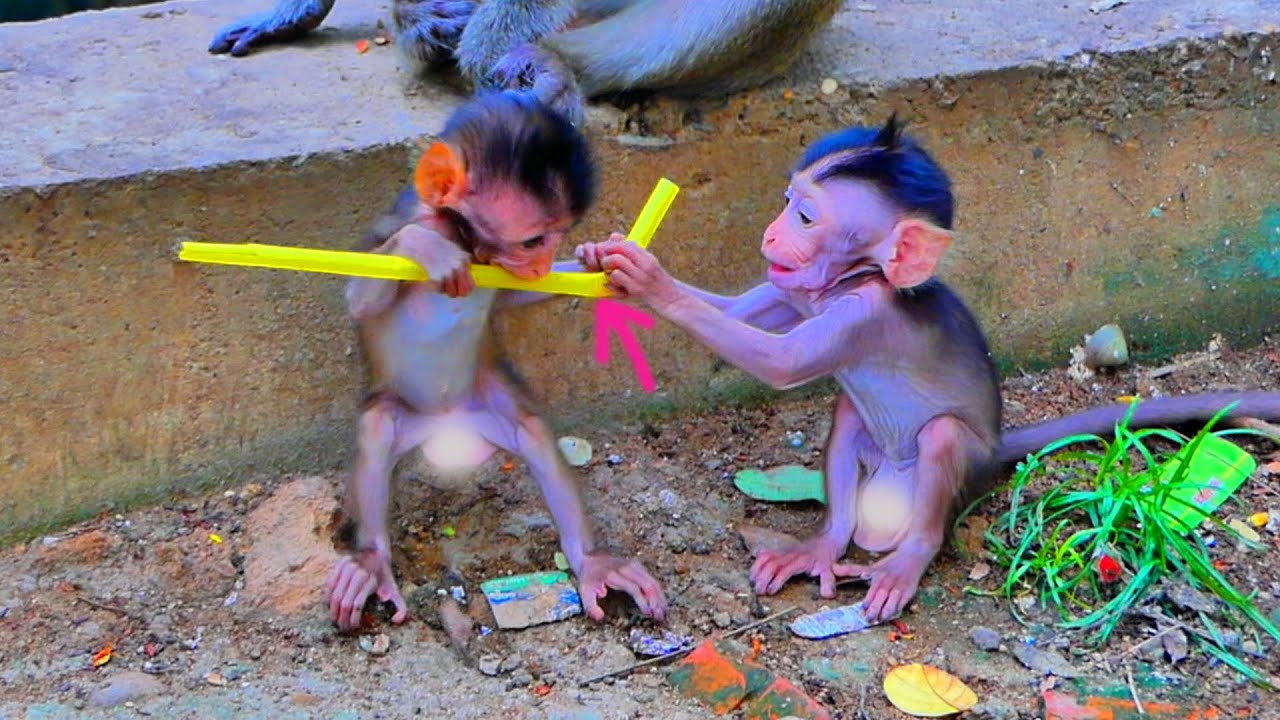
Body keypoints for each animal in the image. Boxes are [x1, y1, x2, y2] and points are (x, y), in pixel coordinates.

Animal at [326, 90, 666, 632]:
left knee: (531, 429)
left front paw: (600, 258)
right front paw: (427, 251)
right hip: (399, 414)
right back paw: (371, 562)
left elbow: (511, 296)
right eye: (533, 240)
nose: (544, 262)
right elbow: (360, 300)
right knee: (376, 426)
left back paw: (591, 561)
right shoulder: (401, 226)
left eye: (558, 235)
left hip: (486, 403)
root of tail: (443, 424)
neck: (466, 239)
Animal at [576, 115, 1280, 623]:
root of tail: (998, 447)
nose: (772, 235)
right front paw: (608, 259)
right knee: (848, 419)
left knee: (939, 445)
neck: (856, 280)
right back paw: (823, 544)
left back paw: (905, 562)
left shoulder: (865, 316)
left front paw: (648, 279)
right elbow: (746, 312)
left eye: (804, 216)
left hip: (957, 471)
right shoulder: (800, 291)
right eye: (785, 203)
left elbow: (782, 361)